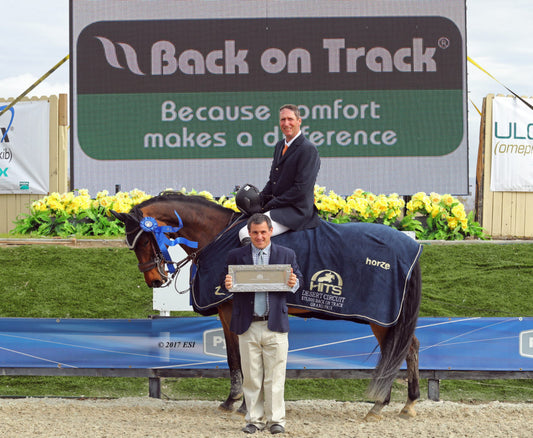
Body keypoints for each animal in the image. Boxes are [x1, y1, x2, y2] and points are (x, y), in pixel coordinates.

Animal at [111, 192, 420, 420]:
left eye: (142, 241)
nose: (154, 279)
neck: (217, 236)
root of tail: (408, 246)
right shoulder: (230, 313)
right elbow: (237, 357)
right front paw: (238, 401)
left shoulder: (232, 310)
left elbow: (240, 357)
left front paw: (240, 403)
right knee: (409, 348)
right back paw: (407, 404)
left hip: (382, 319)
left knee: (398, 351)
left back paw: (380, 405)